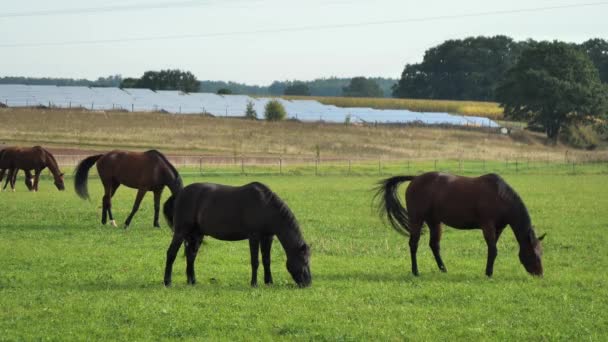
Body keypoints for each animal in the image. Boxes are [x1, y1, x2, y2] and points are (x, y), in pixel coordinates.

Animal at [162, 182, 312, 288]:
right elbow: (255, 261)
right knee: (171, 253)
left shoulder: (267, 237)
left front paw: (269, 282)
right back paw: (167, 281)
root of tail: (179, 194)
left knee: (191, 256)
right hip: (181, 232)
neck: (266, 206)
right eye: (304, 261)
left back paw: (192, 281)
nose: (308, 283)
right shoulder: (254, 237)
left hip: (197, 234)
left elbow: (266, 260)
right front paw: (254, 283)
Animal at [376, 172, 548, 276]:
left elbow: (492, 249)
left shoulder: (498, 228)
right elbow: (493, 250)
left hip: (434, 221)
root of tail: (415, 178)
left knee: (434, 245)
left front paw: (488, 270)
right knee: (413, 244)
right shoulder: (487, 226)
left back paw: (443, 269)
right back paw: (415, 271)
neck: (500, 196)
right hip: (417, 219)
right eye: (533, 253)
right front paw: (488, 273)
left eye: (541, 252)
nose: (539, 274)